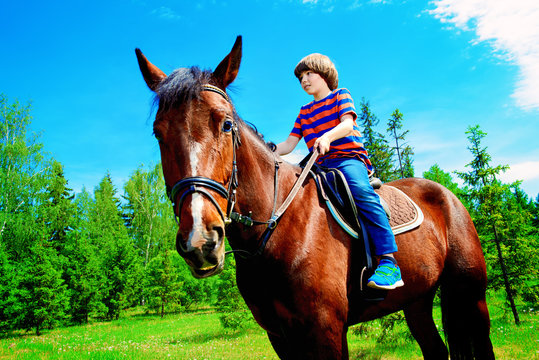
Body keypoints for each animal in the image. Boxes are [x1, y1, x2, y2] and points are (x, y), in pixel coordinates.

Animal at [137, 35, 496, 358]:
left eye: (226, 124)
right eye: (158, 133)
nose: (200, 241)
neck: (275, 230)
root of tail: (447, 194)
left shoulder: (326, 330)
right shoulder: (281, 337)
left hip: (471, 297)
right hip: (417, 300)